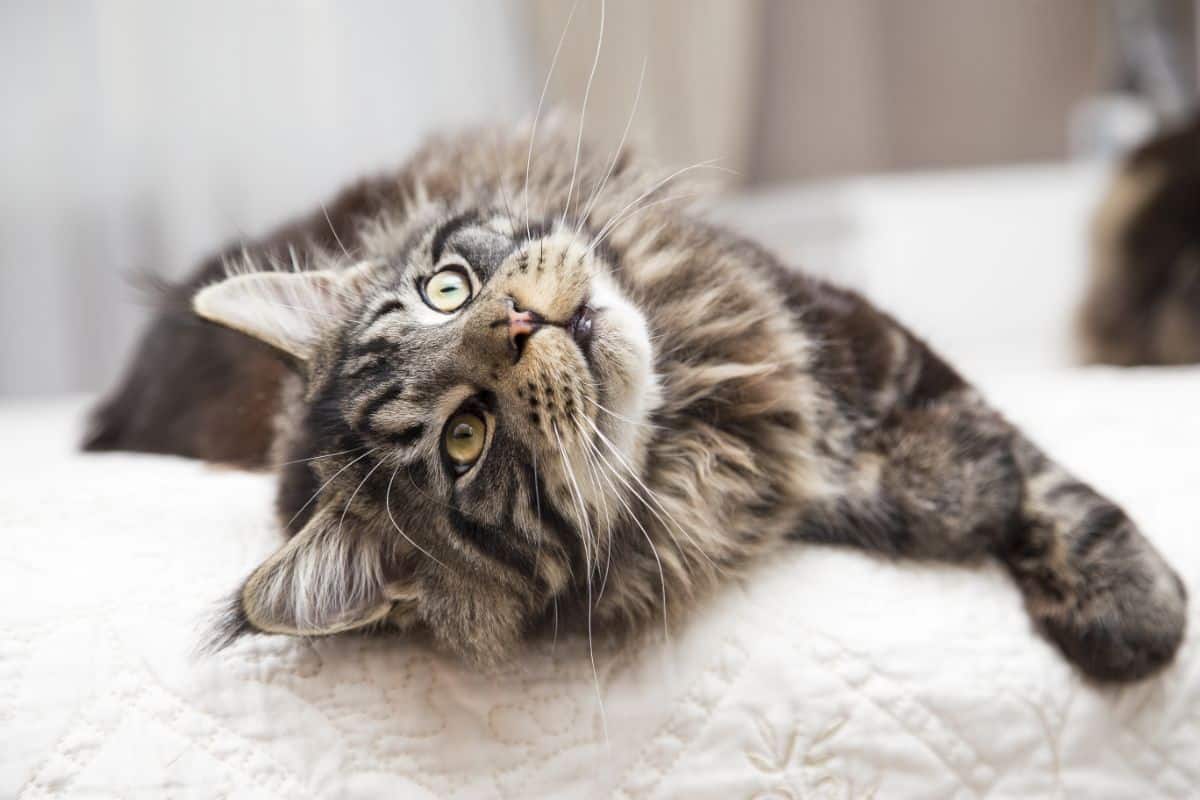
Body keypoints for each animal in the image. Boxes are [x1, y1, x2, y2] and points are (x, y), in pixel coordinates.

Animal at [87, 118, 1190, 681]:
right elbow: (971, 481)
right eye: (463, 441)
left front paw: (1130, 600)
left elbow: (1043, 477)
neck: (696, 408)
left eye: (447, 288)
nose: (517, 323)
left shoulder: (839, 331)